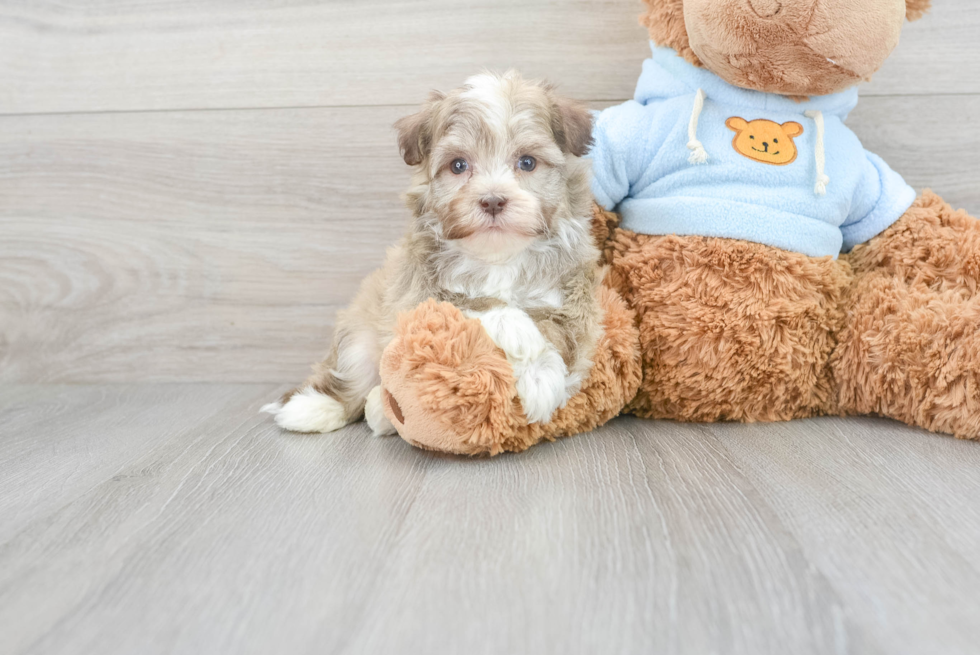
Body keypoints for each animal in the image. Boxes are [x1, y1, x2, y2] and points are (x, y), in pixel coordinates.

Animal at [260, 73, 600, 436]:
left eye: (527, 162)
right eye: (458, 165)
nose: (493, 200)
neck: (498, 258)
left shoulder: (572, 302)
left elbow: (553, 331)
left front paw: (539, 378)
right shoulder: (415, 297)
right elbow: (470, 305)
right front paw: (517, 330)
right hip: (359, 335)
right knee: (352, 377)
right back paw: (315, 408)